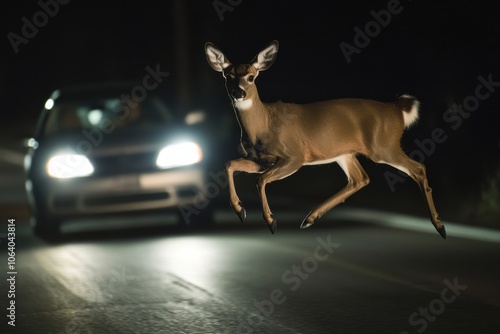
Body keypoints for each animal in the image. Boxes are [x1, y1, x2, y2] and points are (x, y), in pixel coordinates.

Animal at [205, 40, 448, 239]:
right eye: (228, 76)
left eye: (251, 76)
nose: (239, 93)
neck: (263, 124)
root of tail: (397, 109)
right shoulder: (259, 159)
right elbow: (230, 164)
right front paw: (240, 210)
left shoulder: (294, 155)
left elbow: (261, 179)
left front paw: (271, 221)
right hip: (346, 153)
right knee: (360, 179)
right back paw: (309, 219)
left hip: (383, 146)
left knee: (418, 168)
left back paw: (439, 226)